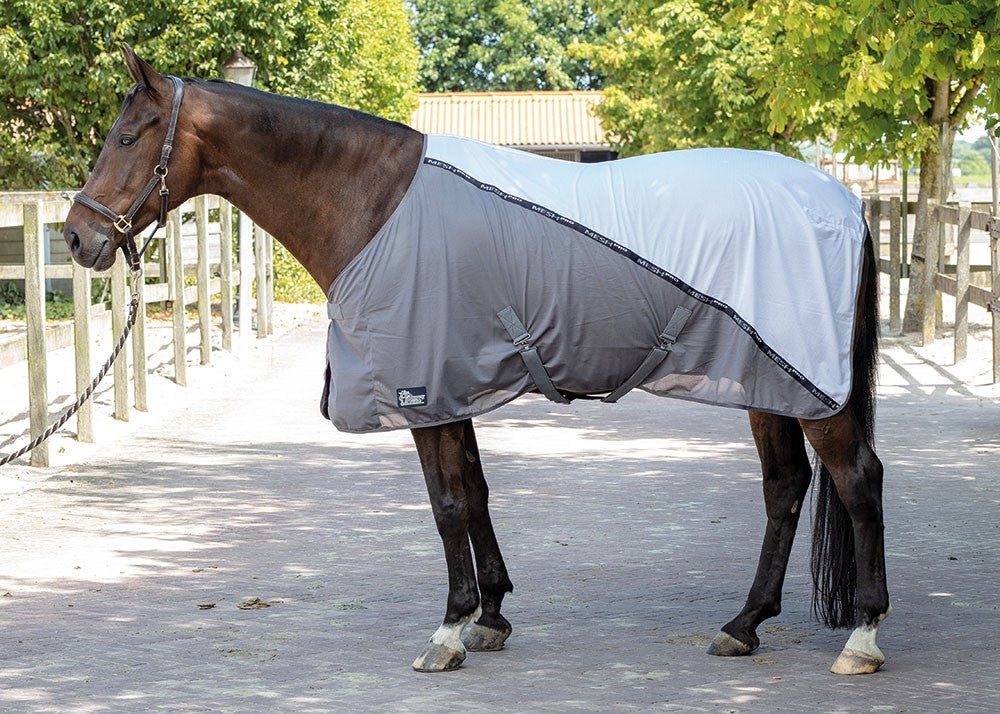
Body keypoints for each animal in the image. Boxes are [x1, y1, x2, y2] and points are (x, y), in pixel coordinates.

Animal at [62, 45, 889, 676]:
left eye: (128, 137)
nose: (77, 236)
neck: (376, 202)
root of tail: (845, 202)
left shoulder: (421, 389)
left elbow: (447, 504)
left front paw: (449, 629)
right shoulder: (451, 389)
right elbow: (478, 494)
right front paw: (490, 615)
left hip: (812, 385)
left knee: (856, 480)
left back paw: (862, 637)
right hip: (768, 383)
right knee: (786, 488)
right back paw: (743, 624)